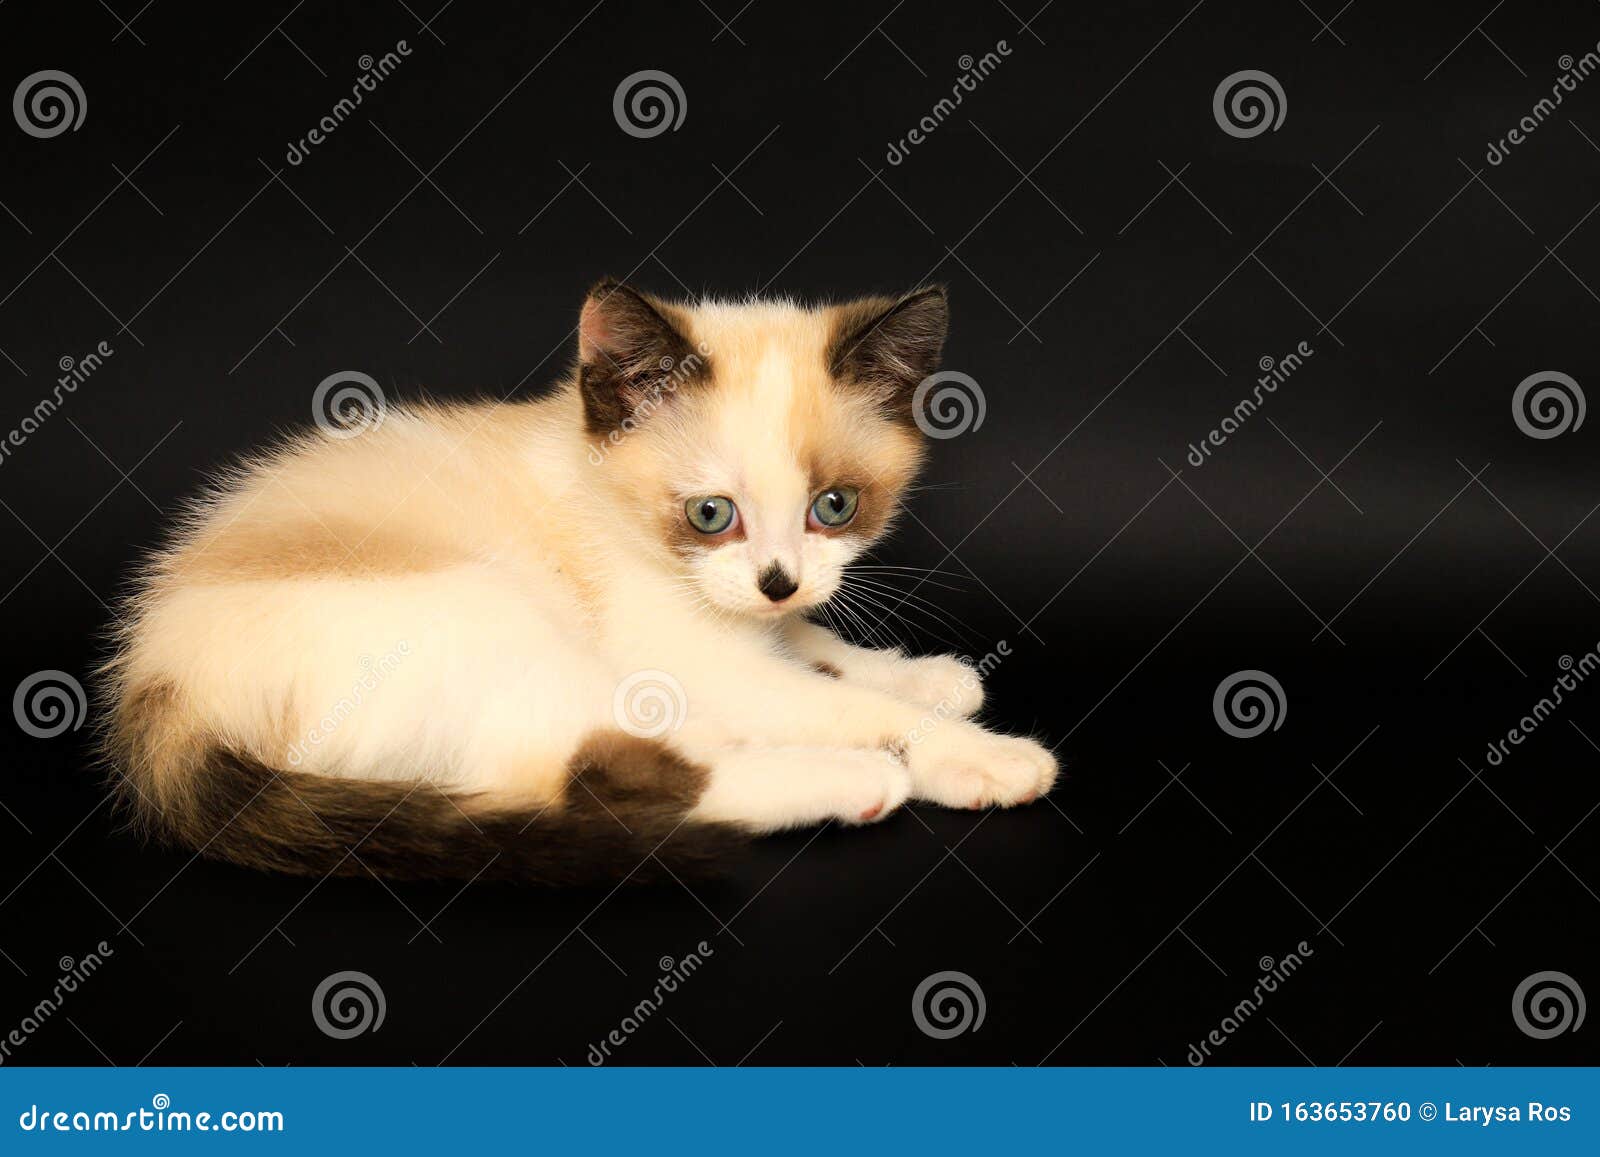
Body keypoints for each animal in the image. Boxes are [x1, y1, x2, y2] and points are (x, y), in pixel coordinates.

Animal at [96, 284, 1049, 883]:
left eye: (835, 505)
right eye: (712, 514)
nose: (778, 580)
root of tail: (154, 686)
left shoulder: (755, 628)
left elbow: (821, 651)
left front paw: (925, 677)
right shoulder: (694, 659)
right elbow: (841, 701)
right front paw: (975, 751)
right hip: (490, 621)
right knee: (597, 777)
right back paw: (855, 781)